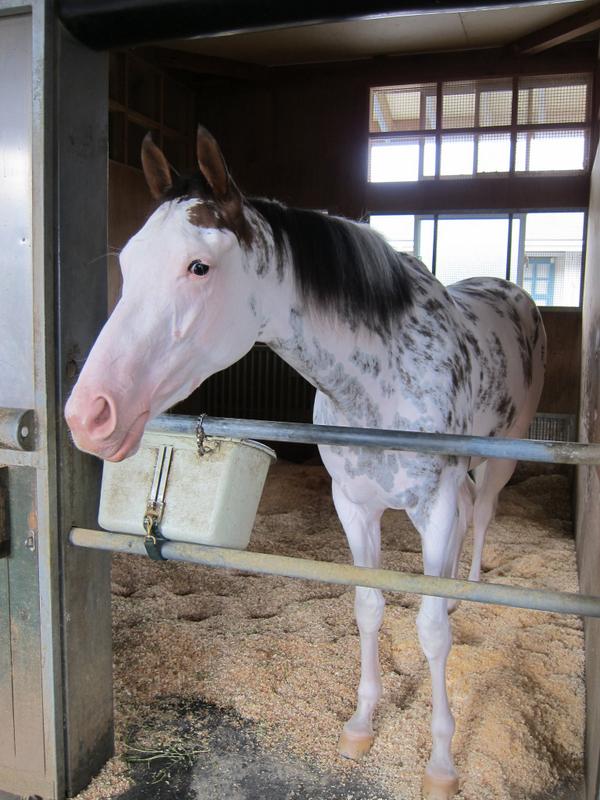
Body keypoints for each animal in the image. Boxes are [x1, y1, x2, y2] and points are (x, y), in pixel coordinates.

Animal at [64, 126, 544, 800]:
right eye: (129, 264)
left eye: (199, 266)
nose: (89, 415)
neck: (384, 380)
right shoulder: (354, 505)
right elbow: (369, 607)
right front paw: (361, 726)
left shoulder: (435, 503)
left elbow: (429, 630)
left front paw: (442, 763)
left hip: (496, 462)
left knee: (484, 515)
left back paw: (467, 590)